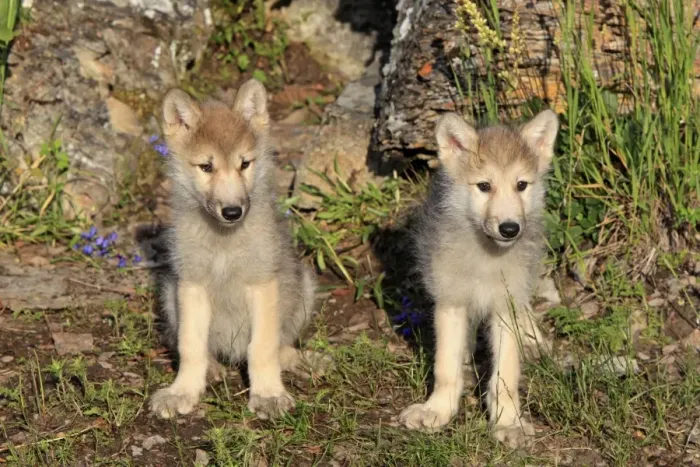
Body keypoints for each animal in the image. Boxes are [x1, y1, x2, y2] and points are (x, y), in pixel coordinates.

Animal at [149, 79, 317, 420]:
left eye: (244, 164)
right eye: (206, 167)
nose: (232, 212)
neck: (223, 245)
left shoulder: (262, 285)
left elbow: (262, 348)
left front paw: (267, 395)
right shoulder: (191, 285)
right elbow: (190, 347)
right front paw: (183, 391)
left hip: (304, 288)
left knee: (282, 343)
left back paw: (296, 360)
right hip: (169, 295)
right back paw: (213, 369)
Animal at [398, 110, 559, 447]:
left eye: (521, 185)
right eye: (484, 186)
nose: (510, 228)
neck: (486, 259)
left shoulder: (506, 307)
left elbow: (505, 376)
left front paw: (508, 423)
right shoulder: (451, 302)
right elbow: (445, 368)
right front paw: (437, 411)